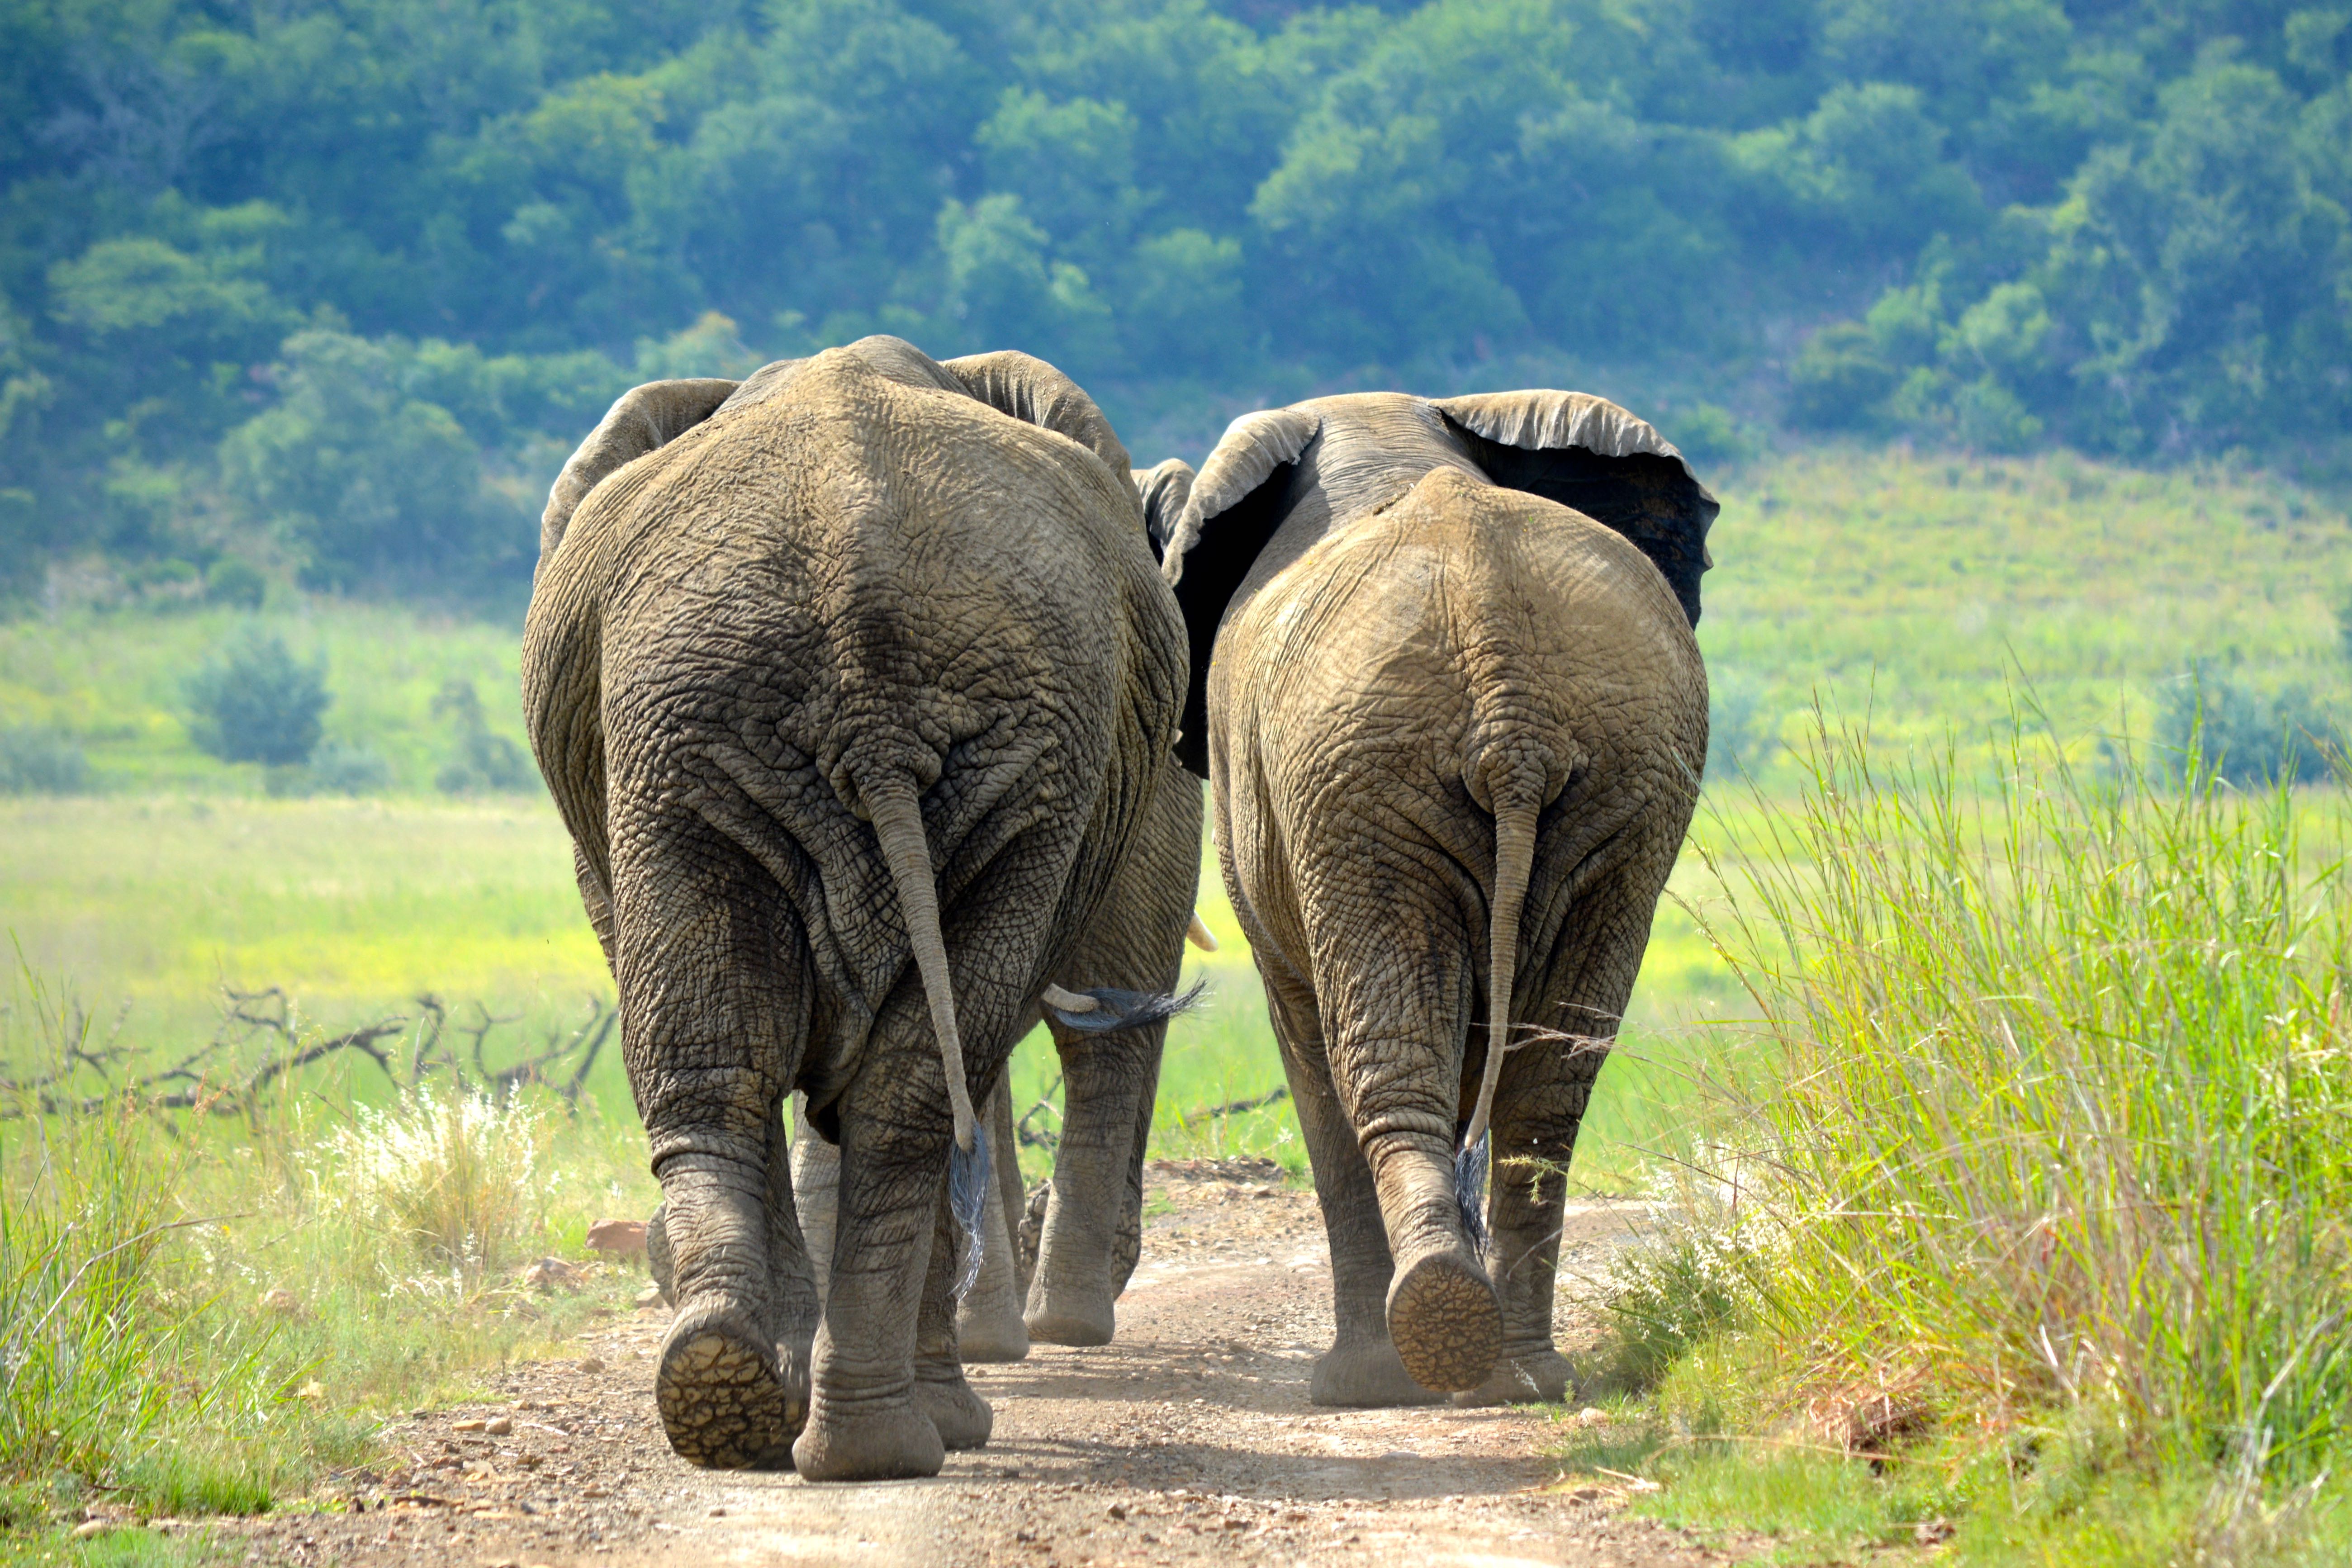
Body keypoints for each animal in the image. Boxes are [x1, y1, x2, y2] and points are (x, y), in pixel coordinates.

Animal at [523, 333, 1193, 1481]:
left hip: (771, 736)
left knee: (794, 1075)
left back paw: (819, 1419)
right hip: (704, 724)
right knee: (807, 1074)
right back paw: (794, 1406)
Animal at [1156, 389, 1715, 1409]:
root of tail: (1508, 707)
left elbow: (1305, 1036)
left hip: (1355, 787)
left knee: (1379, 1059)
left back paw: (1396, 1364)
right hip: (1620, 779)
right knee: (1550, 1078)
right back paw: (1518, 1373)